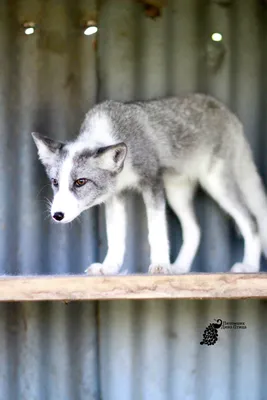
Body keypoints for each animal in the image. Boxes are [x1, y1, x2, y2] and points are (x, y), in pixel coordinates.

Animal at [31, 94, 267, 276]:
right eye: (55, 182)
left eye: (80, 182)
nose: (57, 215)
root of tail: (227, 112)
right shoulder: (115, 196)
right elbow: (115, 236)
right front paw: (109, 267)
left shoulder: (152, 181)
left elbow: (156, 229)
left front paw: (160, 264)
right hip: (176, 192)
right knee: (195, 229)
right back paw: (180, 267)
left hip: (216, 183)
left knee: (252, 221)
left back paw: (249, 266)